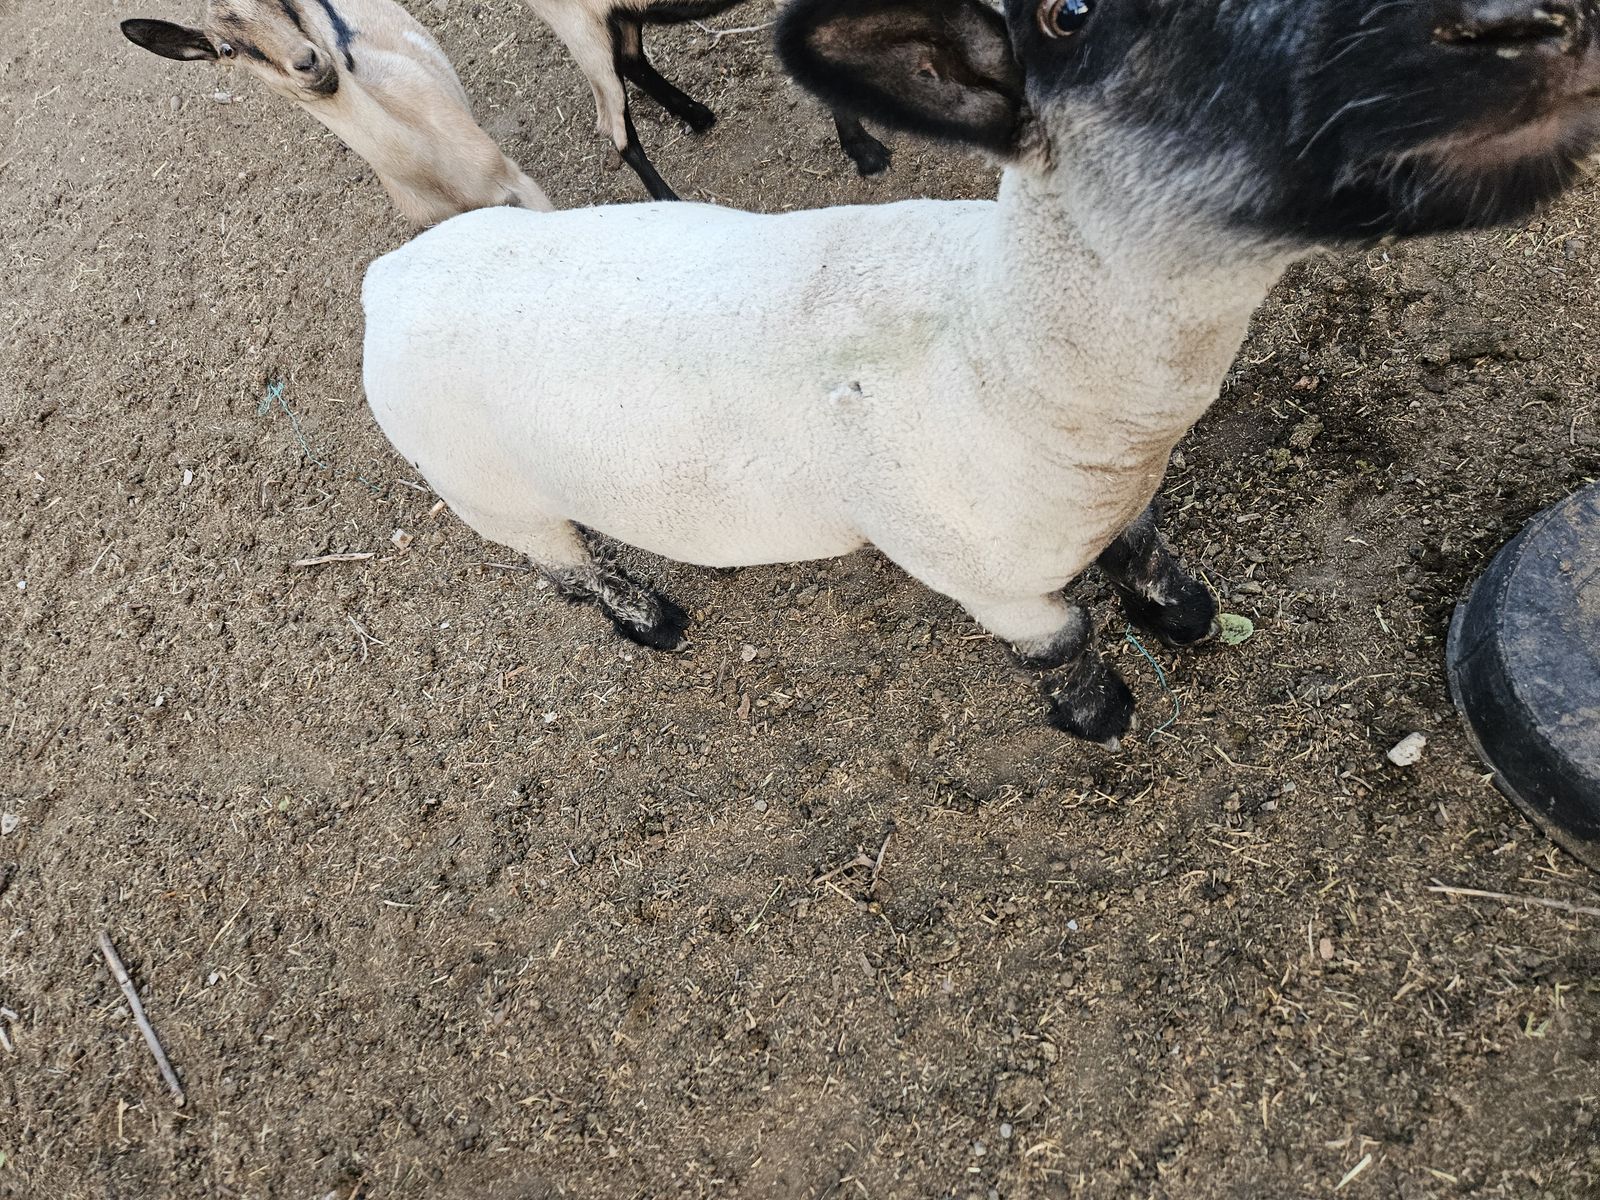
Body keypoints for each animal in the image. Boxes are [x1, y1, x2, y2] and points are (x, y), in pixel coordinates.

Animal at [519, 0, 889, 200]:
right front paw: (866, 152)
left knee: (631, 60)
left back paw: (696, 115)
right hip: (582, 31)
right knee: (617, 128)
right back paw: (671, 201)